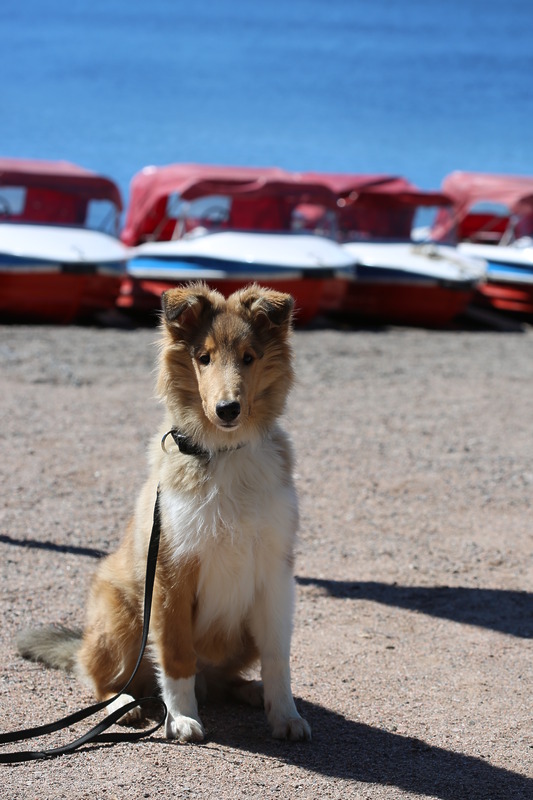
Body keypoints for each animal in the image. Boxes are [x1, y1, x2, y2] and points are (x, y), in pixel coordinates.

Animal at [18, 282, 312, 744]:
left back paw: (247, 689)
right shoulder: (171, 571)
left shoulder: (275, 574)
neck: (223, 453)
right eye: (203, 357)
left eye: (249, 357)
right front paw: (183, 720)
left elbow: (278, 657)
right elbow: (175, 655)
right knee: (102, 678)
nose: (228, 409)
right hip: (120, 613)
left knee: (223, 679)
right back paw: (124, 705)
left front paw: (285, 716)